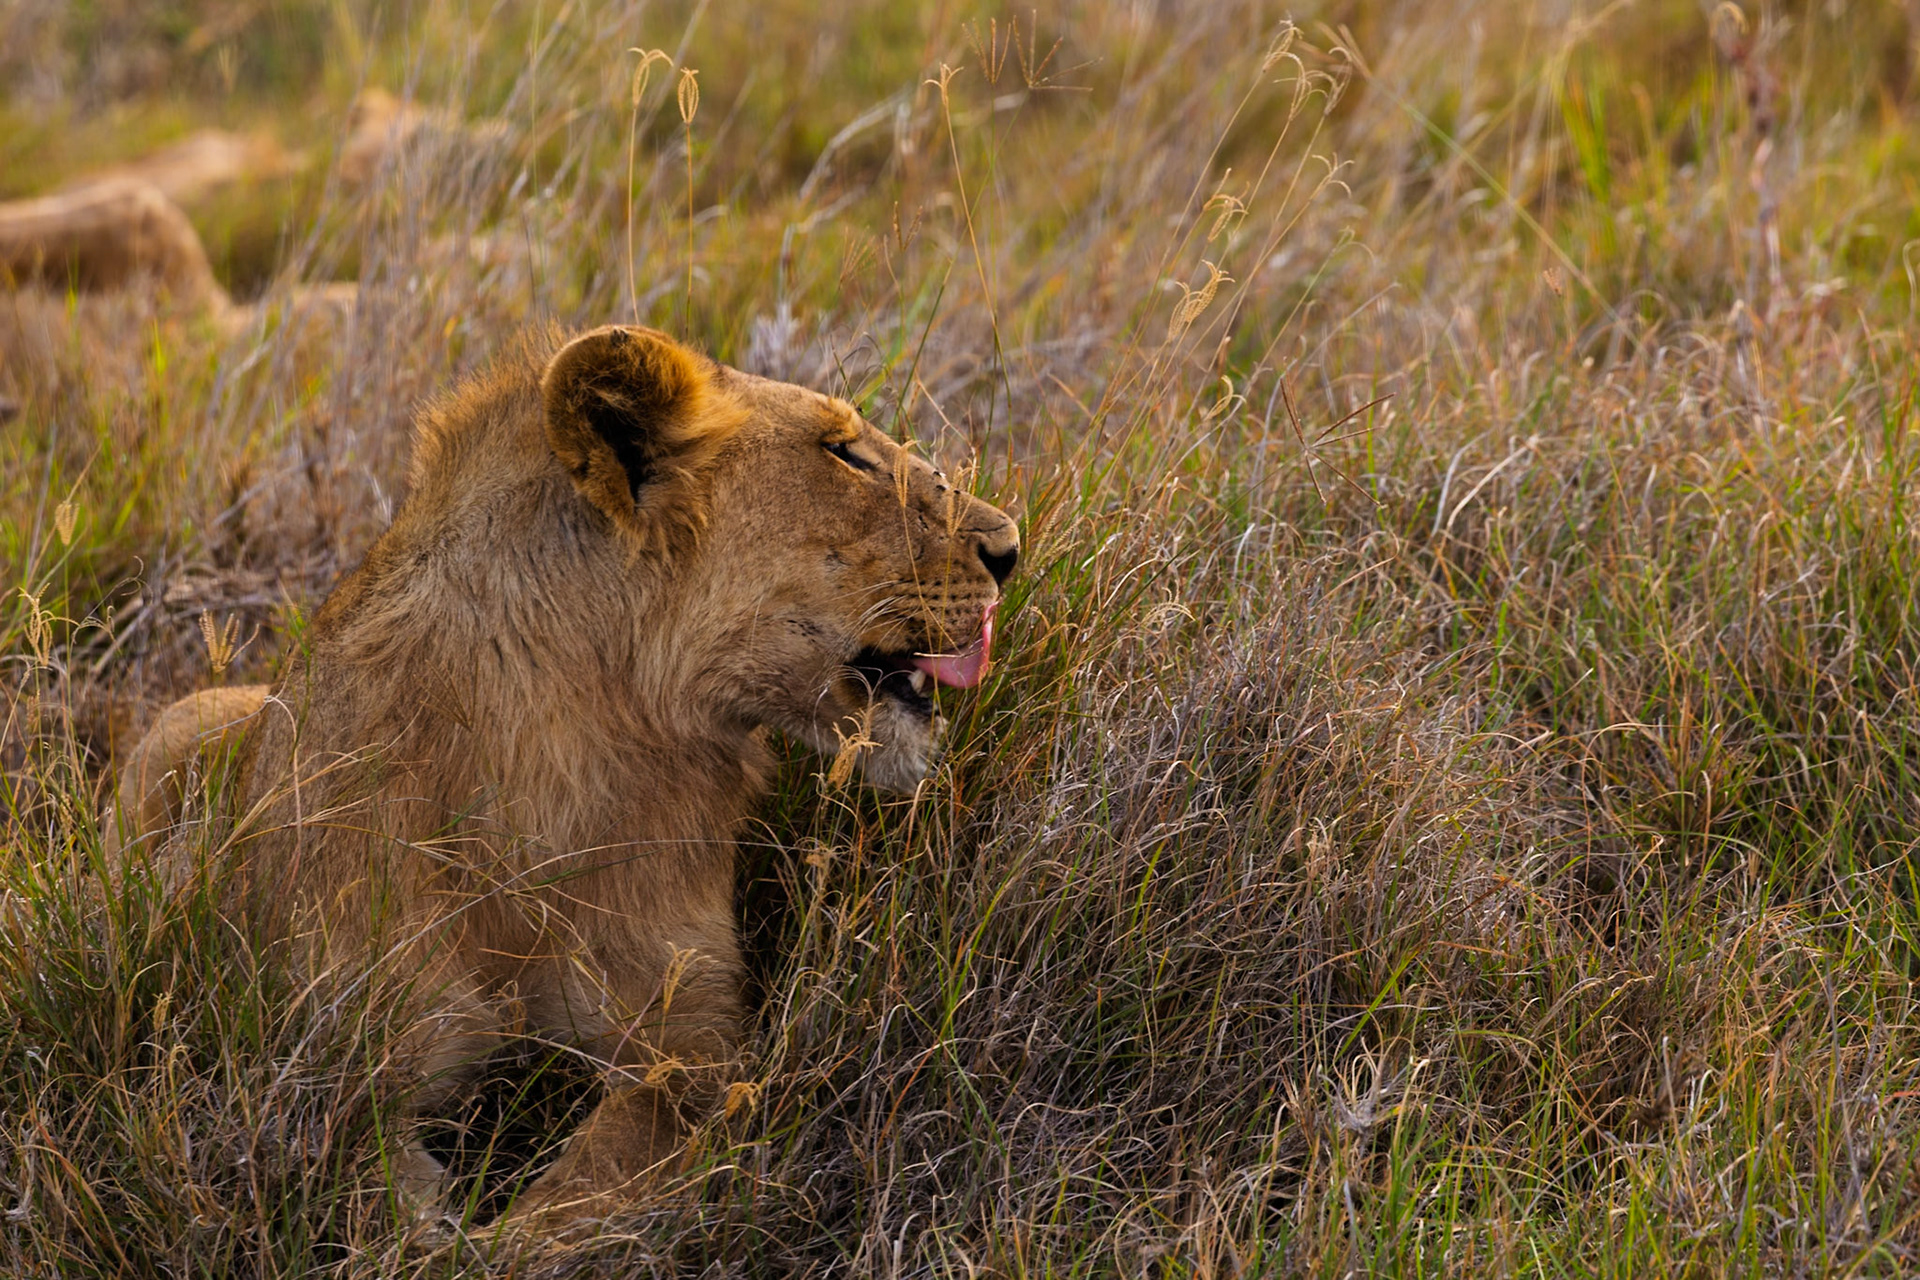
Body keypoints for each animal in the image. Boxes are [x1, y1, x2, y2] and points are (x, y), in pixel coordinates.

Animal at [111, 324, 1019, 1228]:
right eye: (844, 454)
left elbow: (588, 1183)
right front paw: (449, 1234)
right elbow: (369, 1186)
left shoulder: (692, 1034)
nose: (1010, 550)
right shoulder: (340, 1045)